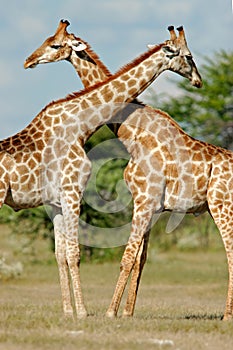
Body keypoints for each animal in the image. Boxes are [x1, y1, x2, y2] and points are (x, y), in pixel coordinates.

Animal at [23, 20, 211, 318]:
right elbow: (140, 258)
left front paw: (116, 312)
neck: (132, 128)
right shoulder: (152, 205)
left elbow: (133, 256)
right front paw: (127, 312)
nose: (29, 61)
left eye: (55, 45)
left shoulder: (146, 201)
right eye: (47, 40)